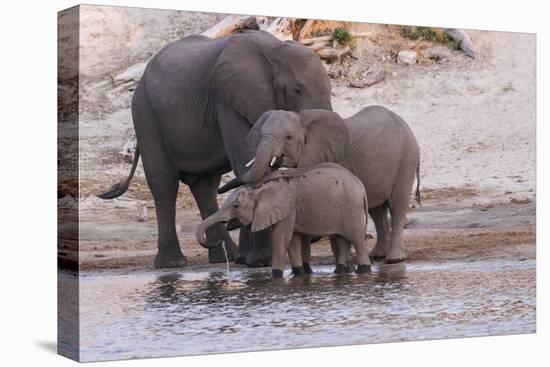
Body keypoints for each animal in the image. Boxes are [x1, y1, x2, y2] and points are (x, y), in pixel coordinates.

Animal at [98, 30, 332, 268]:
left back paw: (223, 257)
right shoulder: (228, 102)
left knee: (205, 188)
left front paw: (247, 261)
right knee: (164, 184)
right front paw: (260, 262)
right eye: (297, 90)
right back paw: (173, 264)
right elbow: (246, 162)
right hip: (145, 114)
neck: (275, 49)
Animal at [196, 164, 374, 278]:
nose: (217, 241)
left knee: (357, 240)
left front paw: (276, 277)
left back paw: (363, 271)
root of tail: (361, 187)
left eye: (236, 206)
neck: (259, 189)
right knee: (342, 240)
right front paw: (297, 274)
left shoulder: (288, 209)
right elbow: (292, 241)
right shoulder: (290, 211)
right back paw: (339, 272)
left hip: (351, 208)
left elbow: (281, 239)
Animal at [220, 105, 422, 264]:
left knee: (397, 206)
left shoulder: (332, 159)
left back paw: (394, 259)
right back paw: (378, 256)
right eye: (260, 135)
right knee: (377, 211)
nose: (219, 189)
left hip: (407, 157)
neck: (302, 118)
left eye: (288, 138)